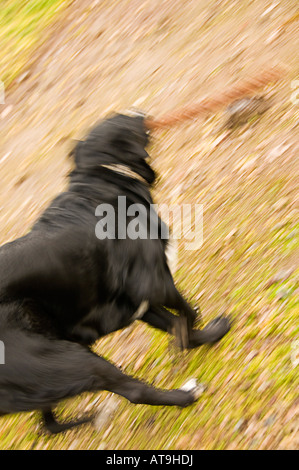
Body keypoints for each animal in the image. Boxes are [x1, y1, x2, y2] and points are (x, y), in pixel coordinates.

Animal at [0, 113, 232, 434]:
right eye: (125, 119)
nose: (141, 112)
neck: (100, 177)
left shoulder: (138, 303)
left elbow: (177, 324)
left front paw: (200, 338)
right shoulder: (157, 283)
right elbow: (188, 314)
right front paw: (198, 337)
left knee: (46, 422)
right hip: (70, 360)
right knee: (134, 391)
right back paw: (186, 394)